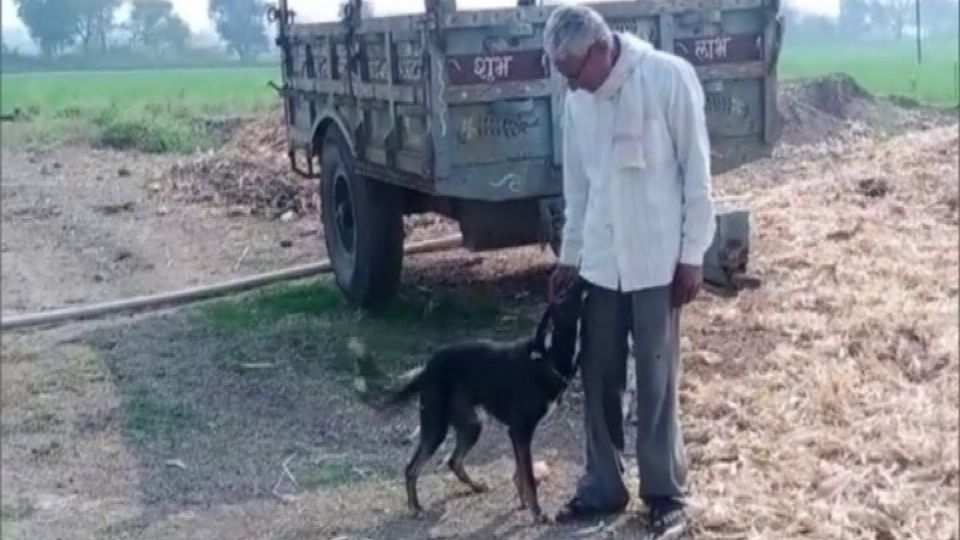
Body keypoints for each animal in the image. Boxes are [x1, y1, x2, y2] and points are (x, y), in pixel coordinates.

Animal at [384, 280, 584, 520]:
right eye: (564, 297)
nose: (582, 280)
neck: (547, 357)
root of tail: (427, 367)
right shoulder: (520, 430)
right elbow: (527, 476)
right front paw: (537, 512)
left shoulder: (517, 434)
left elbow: (520, 473)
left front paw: (523, 502)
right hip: (436, 427)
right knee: (412, 468)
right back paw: (415, 507)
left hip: (471, 425)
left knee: (453, 461)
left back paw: (476, 486)